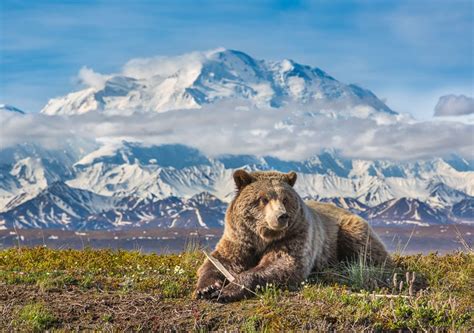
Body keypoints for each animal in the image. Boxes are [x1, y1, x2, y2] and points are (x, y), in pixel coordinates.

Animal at [194, 170, 390, 302]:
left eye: (285, 199)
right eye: (263, 198)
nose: (282, 216)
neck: (263, 237)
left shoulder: (294, 236)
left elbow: (282, 263)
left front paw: (228, 290)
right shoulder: (240, 238)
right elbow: (221, 260)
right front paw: (206, 288)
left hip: (347, 229)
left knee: (365, 249)